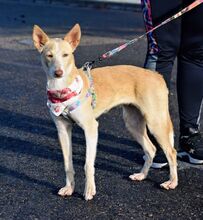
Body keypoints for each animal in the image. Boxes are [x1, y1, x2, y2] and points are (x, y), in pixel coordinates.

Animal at [32, 24, 178, 201]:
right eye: (49, 55)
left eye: (66, 55)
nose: (58, 73)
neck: (62, 89)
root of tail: (156, 75)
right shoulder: (63, 130)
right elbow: (68, 164)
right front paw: (69, 188)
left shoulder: (91, 129)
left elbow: (88, 164)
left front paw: (89, 190)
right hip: (133, 123)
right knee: (151, 149)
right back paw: (141, 175)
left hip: (156, 122)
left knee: (171, 152)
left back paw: (172, 182)